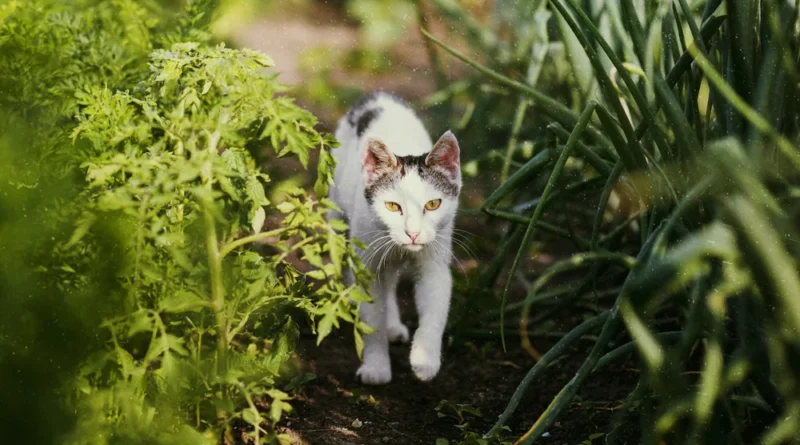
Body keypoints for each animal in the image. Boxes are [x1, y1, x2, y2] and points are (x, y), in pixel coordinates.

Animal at [326, 92, 462, 384]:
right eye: (391, 206)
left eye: (433, 204)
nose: (412, 232)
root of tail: (377, 95)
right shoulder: (368, 261)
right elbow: (372, 319)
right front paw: (376, 367)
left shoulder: (435, 263)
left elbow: (435, 312)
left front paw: (425, 359)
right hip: (338, 217)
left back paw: (393, 326)